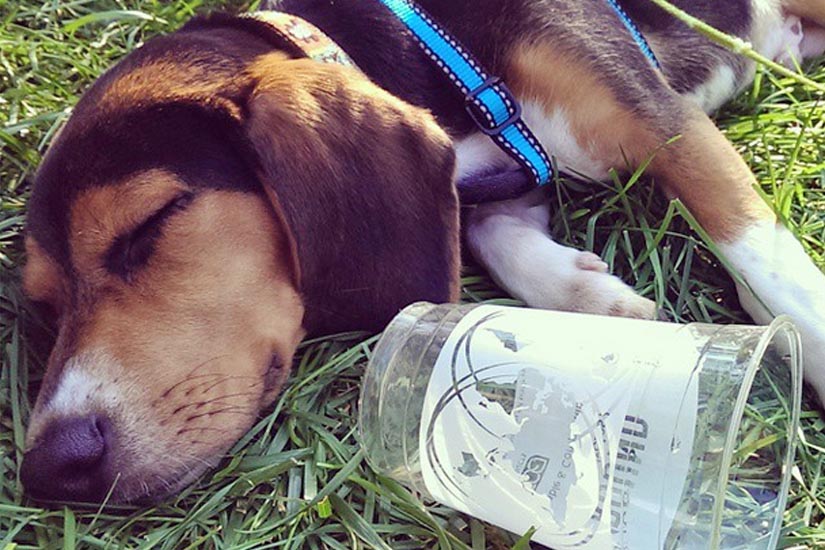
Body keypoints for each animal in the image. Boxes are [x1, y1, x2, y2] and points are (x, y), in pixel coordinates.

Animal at [18, 0, 825, 504]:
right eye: (45, 305)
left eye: (149, 225)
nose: (50, 467)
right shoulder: (505, 174)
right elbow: (492, 234)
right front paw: (593, 303)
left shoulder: (665, 122)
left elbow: (760, 254)